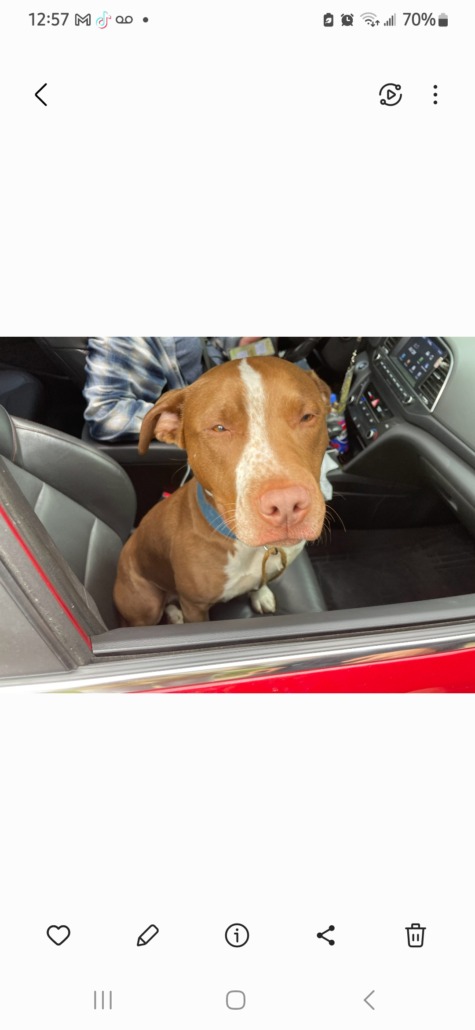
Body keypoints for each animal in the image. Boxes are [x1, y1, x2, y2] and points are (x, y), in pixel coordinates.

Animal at [113, 357, 331, 625]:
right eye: (218, 428)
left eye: (307, 416)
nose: (286, 503)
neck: (248, 547)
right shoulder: (195, 606)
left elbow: (260, 582)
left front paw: (261, 595)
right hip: (145, 604)